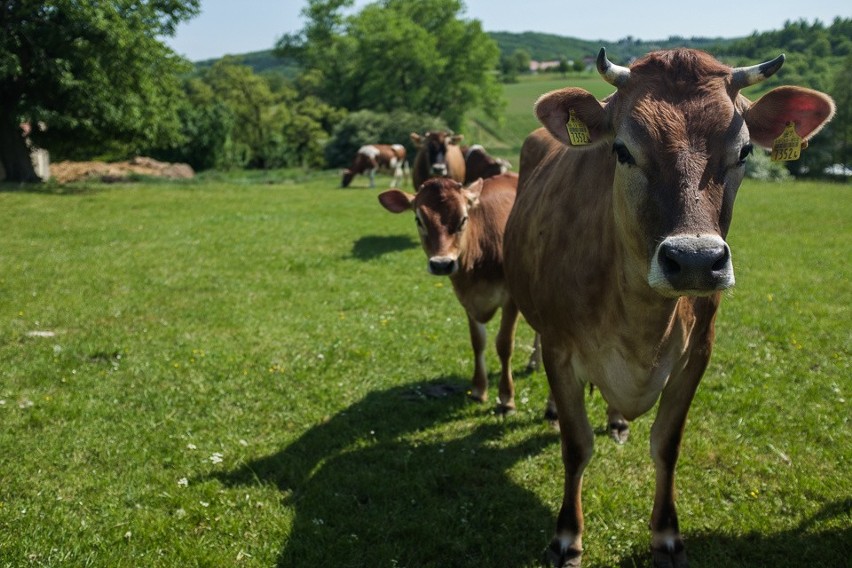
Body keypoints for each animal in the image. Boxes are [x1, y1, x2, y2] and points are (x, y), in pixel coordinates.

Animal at [380, 172, 540, 412]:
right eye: (419, 220)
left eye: (463, 219)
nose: (441, 264)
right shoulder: (467, 299)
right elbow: (477, 342)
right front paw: (478, 390)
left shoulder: (511, 299)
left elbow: (504, 344)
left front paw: (506, 398)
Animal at [502, 50, 836, 568]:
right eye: (622, 150)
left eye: (744, 151)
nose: (696, 260)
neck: (643, 320)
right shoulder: (560, 347)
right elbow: (576, 447)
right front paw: (566, 536)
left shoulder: (698, 352)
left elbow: (667, 445)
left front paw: (666, 535)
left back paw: (618, 420)